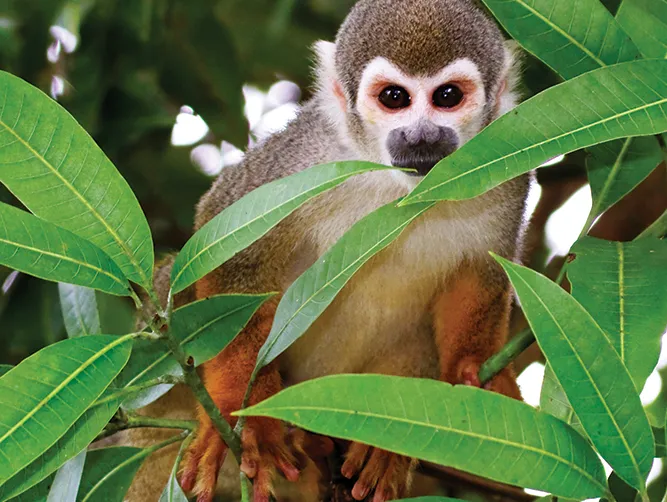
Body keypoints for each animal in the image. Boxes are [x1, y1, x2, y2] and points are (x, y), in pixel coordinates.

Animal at [119, 0, 530, 500]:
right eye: (394, 98)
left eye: (447, 96)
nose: (421, 137)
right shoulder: (305, 159)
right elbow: (232, 250)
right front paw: (243, 412)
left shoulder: (506, 167)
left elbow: (481, 271)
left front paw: (469, 366)